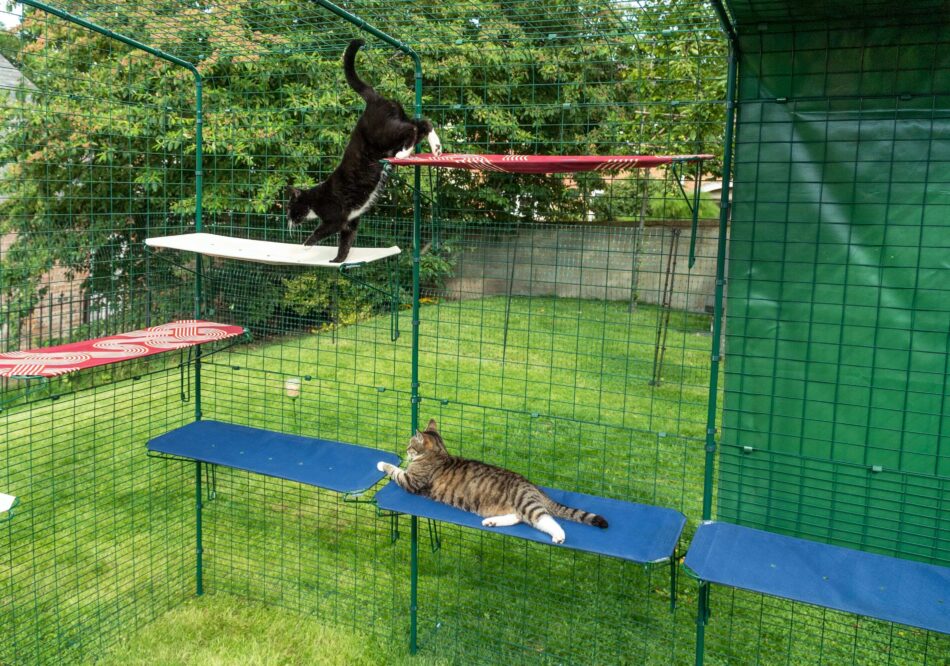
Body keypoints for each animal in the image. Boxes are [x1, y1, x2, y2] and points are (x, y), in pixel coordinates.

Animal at [288, 38, 444, 262]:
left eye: (290, 208)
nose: (288, 221)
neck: (316, 199)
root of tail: (374, 99)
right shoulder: (350, 222)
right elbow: (345, 243)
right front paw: (337, 261)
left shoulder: (335, 218)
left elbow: (320, 231)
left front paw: (305, 246)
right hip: (396, 121)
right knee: (423, 123)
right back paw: (436, 147)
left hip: (383, 134)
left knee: (412, 129)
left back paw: (403, 153)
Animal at [376, 418, 608, 544]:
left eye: (410, 445)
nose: (406, 449)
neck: (439, 453)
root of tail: (533, 486)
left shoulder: (411, 481)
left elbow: (395, 470)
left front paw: (382, 463)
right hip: (515, 507)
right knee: (518, 518)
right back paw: (491, 522)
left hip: (526, 503)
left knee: (545, 519)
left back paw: (559, 535)